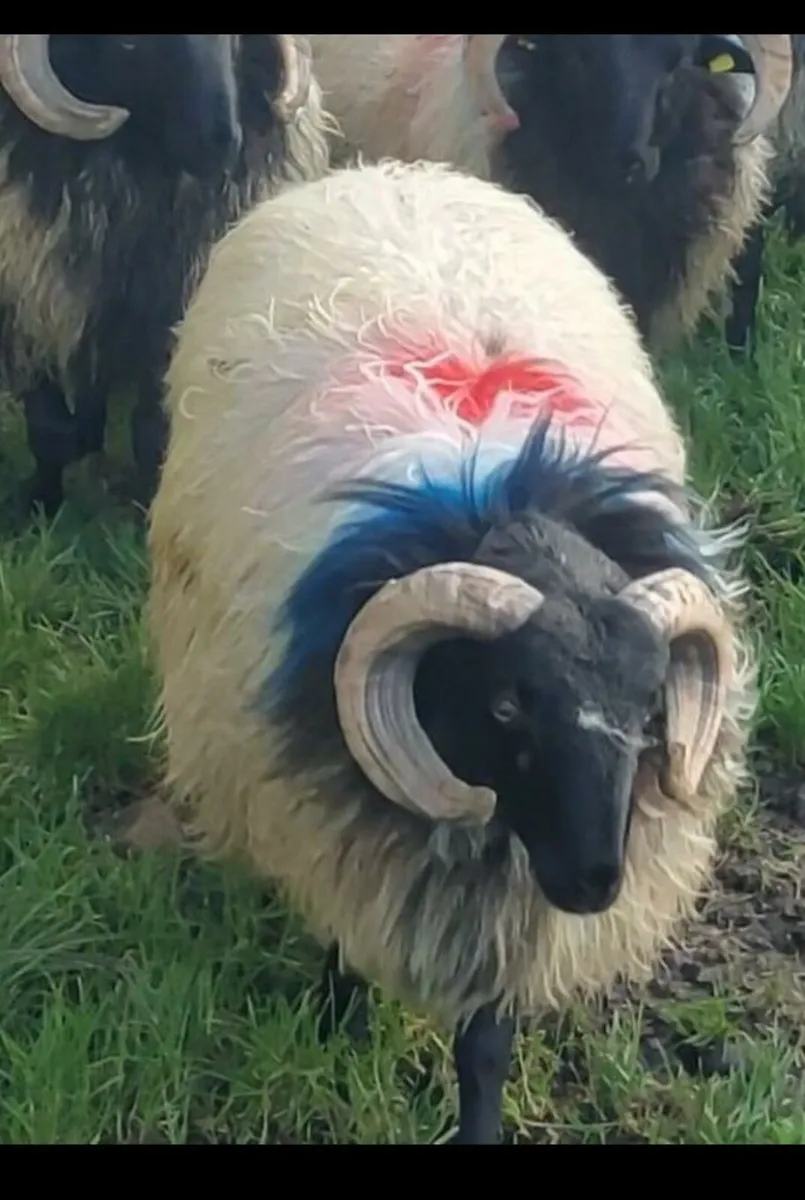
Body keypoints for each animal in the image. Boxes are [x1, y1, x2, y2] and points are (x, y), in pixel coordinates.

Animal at [0, 34, 329, 516]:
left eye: (234, 41)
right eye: (129, 42)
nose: (221, 144)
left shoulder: (170, 312)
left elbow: (151, 429)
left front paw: (144, 509)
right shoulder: (30, 306)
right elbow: (49, 429)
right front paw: (39, 503)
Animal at [141, 159, 755, 1144]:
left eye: (649, 706)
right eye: (506, 703)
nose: (595, 882)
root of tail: (389, 174)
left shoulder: (515, 891)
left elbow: (485, 1044)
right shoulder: (338, 815)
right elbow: (343, 932)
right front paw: (334, 1019)